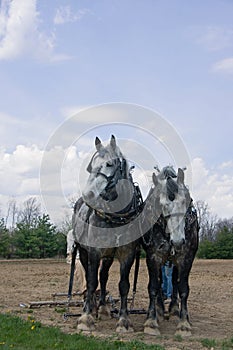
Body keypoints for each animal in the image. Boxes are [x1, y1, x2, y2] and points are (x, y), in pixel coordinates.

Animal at [72, 135, 143, 332]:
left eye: (110, 164)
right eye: (90, 167)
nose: (88, 195)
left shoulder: (127, 253)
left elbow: (124, 285)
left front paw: (124, 321)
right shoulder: (95, 252)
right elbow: (91, 282)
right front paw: (86, 318)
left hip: (109, 255)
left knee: (103, 276)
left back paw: (102, 308)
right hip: (84, 251)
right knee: (91, 278)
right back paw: (90, 307)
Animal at [141, 167, 199, 336]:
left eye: (186, 200)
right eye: (162, 204)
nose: (178, 241)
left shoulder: (186, 258)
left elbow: (183, 288)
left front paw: (184, 324)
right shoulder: (153, 257)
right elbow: (154, 287)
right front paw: (151, 322)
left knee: (174, 282)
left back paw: (173, 310)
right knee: (160, 282)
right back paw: (160, 309)